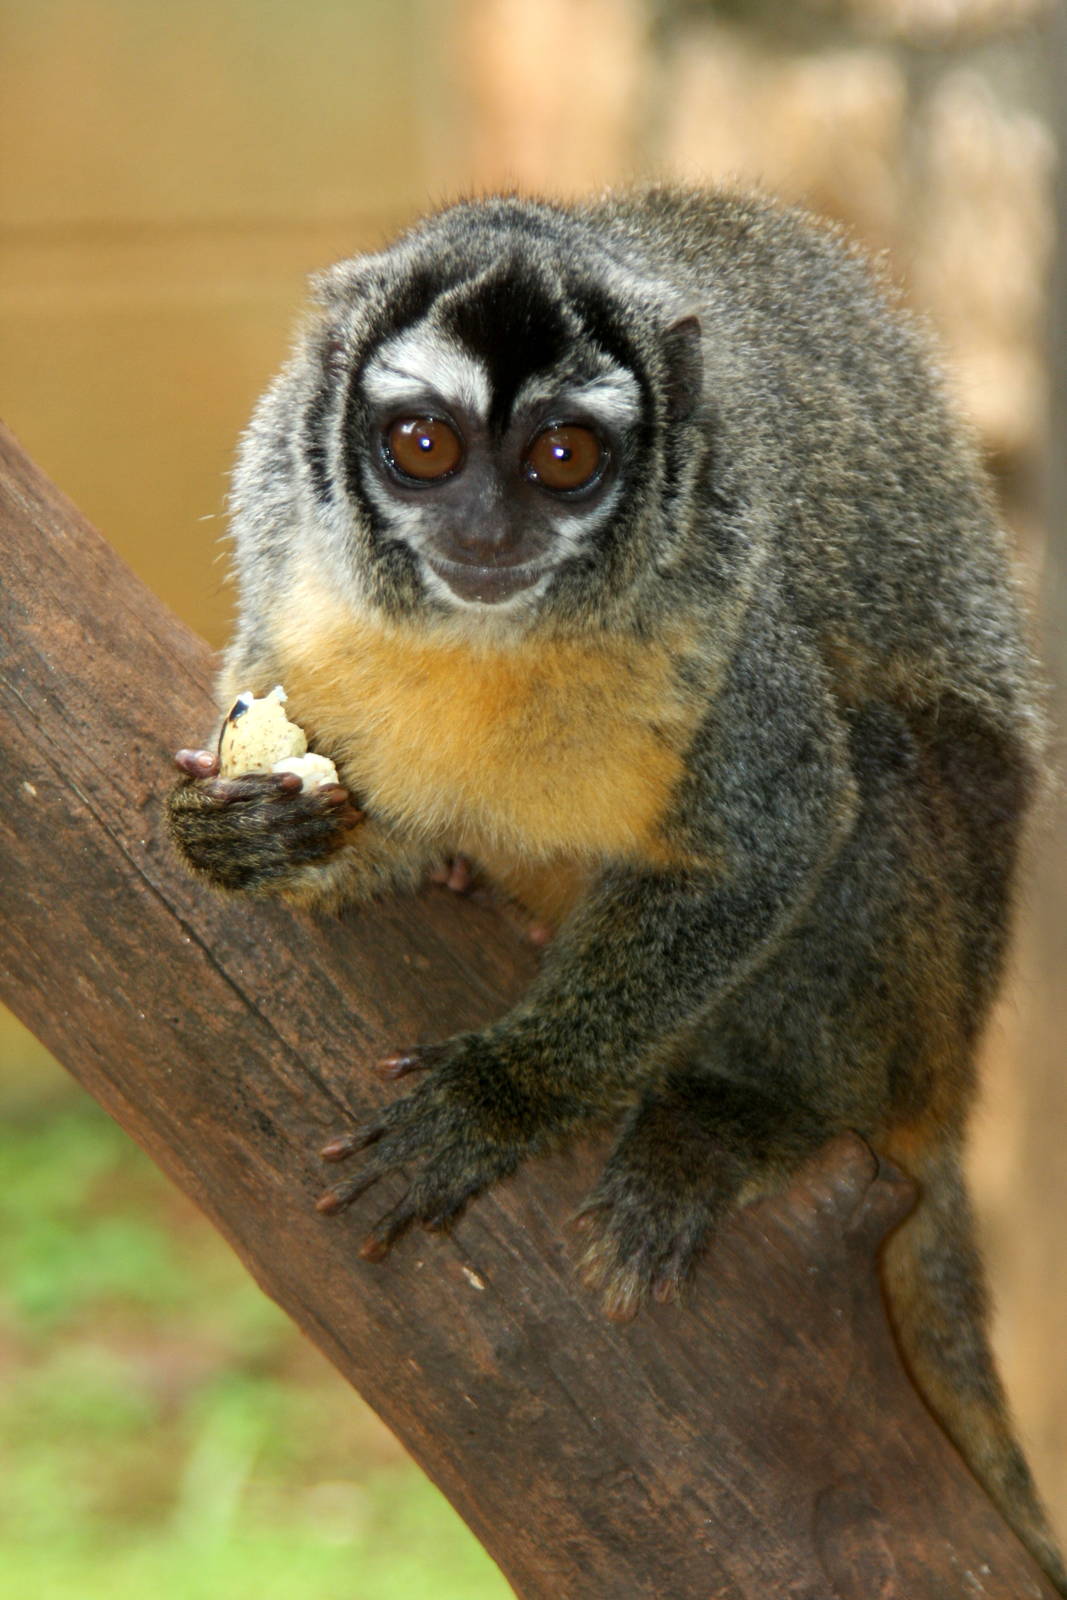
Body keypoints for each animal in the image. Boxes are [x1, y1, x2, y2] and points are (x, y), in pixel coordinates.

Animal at [167, 186, 1065, 1588]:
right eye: (423, 445)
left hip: (934, 988)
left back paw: (746, 1116)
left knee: (876, 764)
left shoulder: (725, 604)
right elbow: (353, 811)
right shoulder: (287, 547)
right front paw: (243, 835)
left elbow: (778, 833)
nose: (487, 532)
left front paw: (504, 1095)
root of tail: (954, 1074)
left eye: (562, 459)